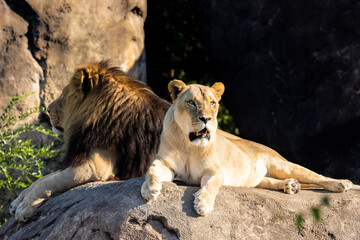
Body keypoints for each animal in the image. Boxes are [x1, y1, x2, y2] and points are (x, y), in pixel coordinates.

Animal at [9, 61, 170, 222]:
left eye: (63, 94)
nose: (47, 110)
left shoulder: (95, 168)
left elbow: (48, 182)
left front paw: (24, 208)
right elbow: (41, 179)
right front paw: (17, 201)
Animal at [142, 80, 360, 216]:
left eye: (212, 103)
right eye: (191, 103)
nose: (206, 119)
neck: (189, 144)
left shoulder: (215, 171)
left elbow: (211, 185)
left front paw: (203, 203)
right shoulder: (166, 164)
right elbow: (151, 170)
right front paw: (149, 189)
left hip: (283, 165)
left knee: (317, 176)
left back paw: (342, 183)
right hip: (258, 179)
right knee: (269, 181)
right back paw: (290, 185)